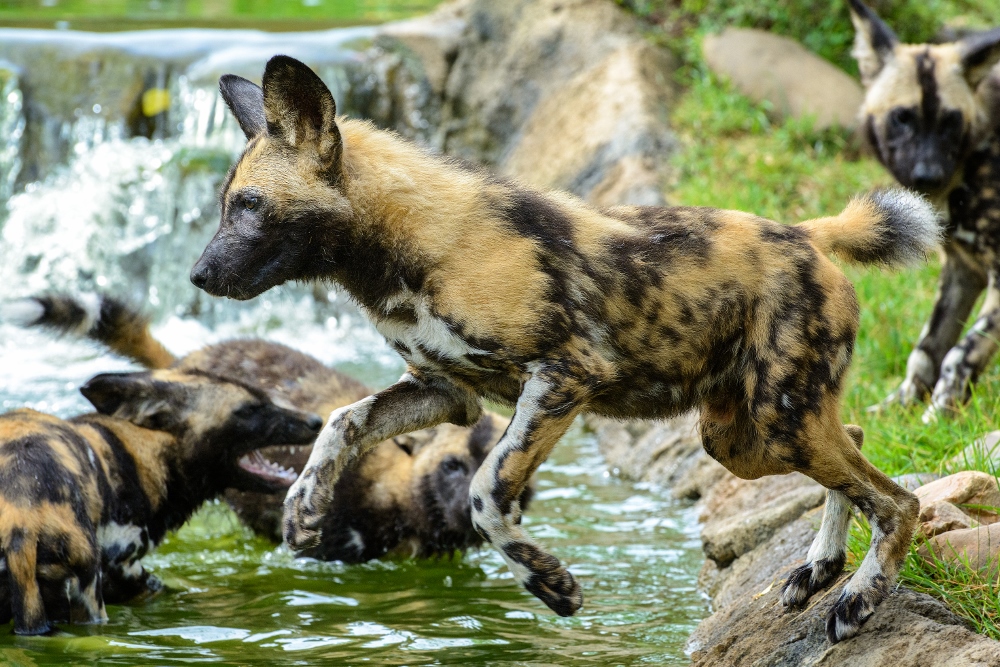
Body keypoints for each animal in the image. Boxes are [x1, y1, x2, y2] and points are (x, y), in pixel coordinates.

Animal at [0, 362, 320, 636]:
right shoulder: (121, 569)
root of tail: (20, 521)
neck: (149, 450)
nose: (315, 420)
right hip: (90, 594)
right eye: (250, 409)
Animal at [189, 56, 944, 640]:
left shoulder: (561, 380)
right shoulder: (446, 393)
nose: (197, 274)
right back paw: (818, 570)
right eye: (228, 203)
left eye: (249, 205)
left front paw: (551, 585)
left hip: (777, 421)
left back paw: (857, 601)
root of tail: (806, 233)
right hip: (746, 435)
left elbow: (486, 492)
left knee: (899, 501)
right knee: (855, 439)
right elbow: (341, 421)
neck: (404, 251)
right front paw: (303, 508)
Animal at [848, 0, 1000, 422]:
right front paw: (903, 409)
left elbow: (961, 351)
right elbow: (927, 350)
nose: (928, 174)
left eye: (951, 121)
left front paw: (941, 411)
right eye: (902, 117)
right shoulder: (963, 271)